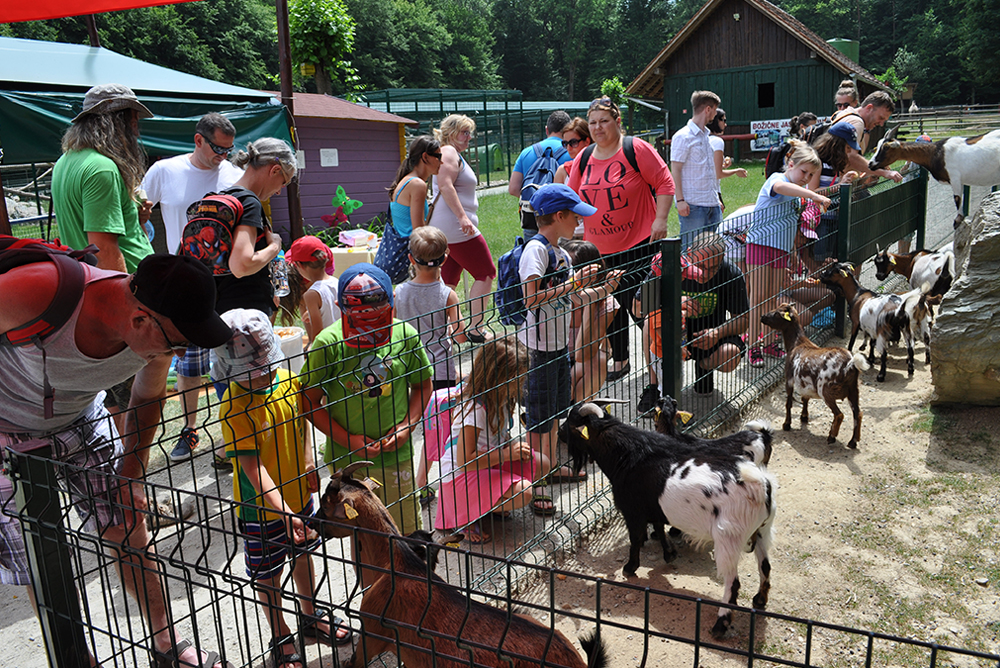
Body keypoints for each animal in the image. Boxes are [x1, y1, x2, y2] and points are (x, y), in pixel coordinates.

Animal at [560, 400, 776, 640]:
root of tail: (761, 485)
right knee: (765, 566)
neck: (628, 456)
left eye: (571, 424)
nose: (558, 433)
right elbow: (659, 527)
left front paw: (630, 568)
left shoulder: (632, 512)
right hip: (763, 530)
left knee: (733, 583)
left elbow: (636, 540)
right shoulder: (653, 508)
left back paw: (720, 625)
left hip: (728, 538)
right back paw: (760, 600)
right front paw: (669, 553)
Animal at [756, 302, 868, 448]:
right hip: (853, 389)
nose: (762, 317)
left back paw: (832, 436)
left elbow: (789, 403)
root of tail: (851, 363)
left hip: (826, 389)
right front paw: (804, 417)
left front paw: (787, 424)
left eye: (776, 313)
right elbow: (805, 398)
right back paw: (853, 442)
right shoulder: (805, 383)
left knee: (839, 415)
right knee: (858, 414)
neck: (797, 343)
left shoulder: (789, 380)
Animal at [868, 126, 1000, 228]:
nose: (870, 164)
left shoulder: (955, 178)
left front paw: (958, 220)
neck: (936, 153)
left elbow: (957, 199)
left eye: (886, 147)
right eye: (877, 146)